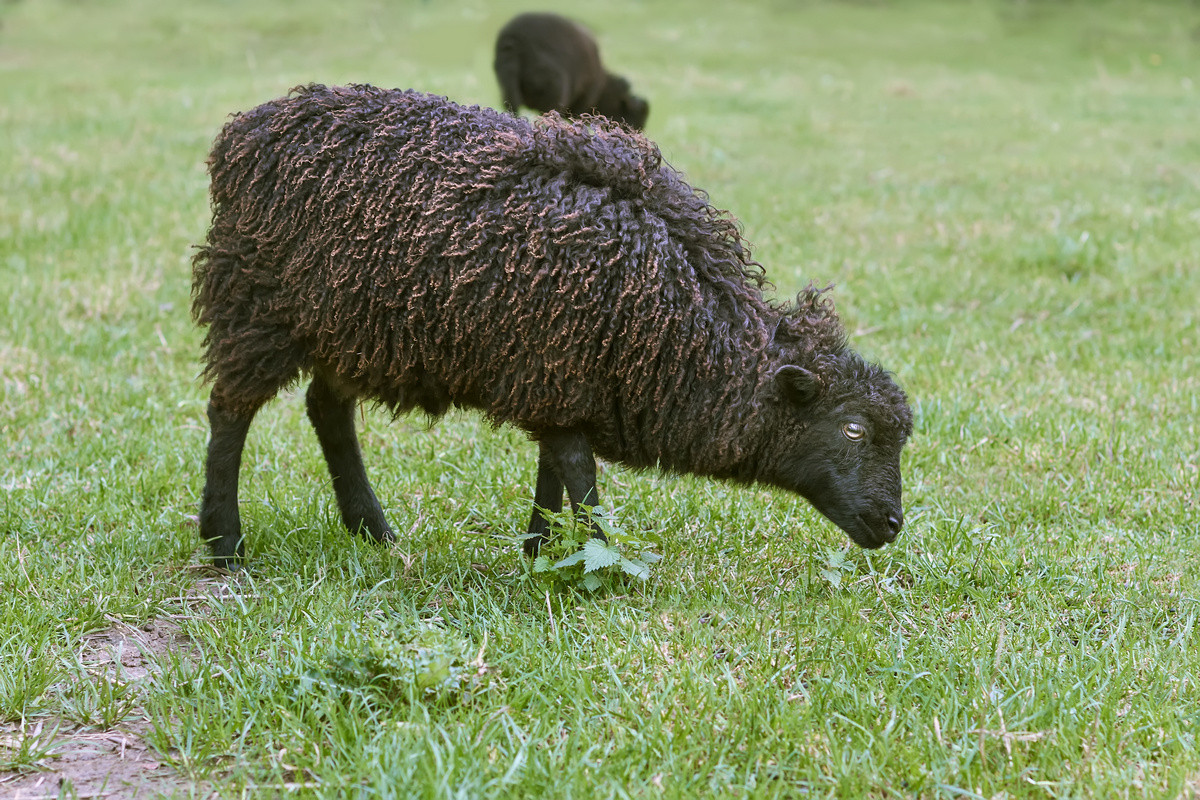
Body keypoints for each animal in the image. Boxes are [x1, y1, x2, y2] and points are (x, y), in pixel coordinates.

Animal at [192, 82, 912, 568]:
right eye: (853, 429)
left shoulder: (556, 374)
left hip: (351, 326)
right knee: (230, 411)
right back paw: (224, 541)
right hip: (257, 303)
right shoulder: (559, 369)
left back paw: (372, 528)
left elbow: (552, 470)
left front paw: (539, 550)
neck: (678, 320)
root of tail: (246, 131)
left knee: (326, 408)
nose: (893, 524)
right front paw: (601, 562)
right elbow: (581, 479)